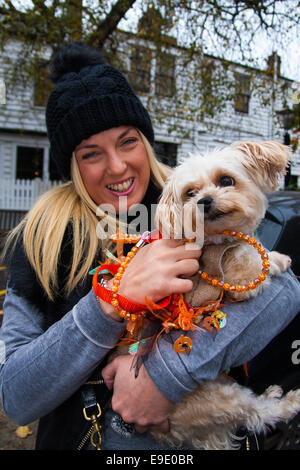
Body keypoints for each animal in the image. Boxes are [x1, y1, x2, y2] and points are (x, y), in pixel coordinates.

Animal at [149, 141, 300, 450]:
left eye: (226, 181)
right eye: (190, 193)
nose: (203, 201)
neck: (219, 238)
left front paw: (276, 257)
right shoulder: (239, 278)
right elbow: (254, 260)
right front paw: (276, 261)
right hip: (220, 399)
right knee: (258, 414)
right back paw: (289, 402)